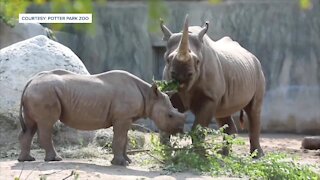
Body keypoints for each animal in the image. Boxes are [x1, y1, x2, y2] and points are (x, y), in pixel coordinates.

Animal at [18, 69, 185, 166]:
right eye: (170, 115)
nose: (181, 129)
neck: (149, 96)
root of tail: (30, 81)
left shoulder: (126, 117)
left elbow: (124, 139)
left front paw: (127, 161)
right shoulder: (122, 118)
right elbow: (120, 139)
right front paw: (121, 163)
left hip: (38, 92)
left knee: (31, 126)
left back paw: (26, 160)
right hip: (44, 92)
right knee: (46, 124)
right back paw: (55, 159)